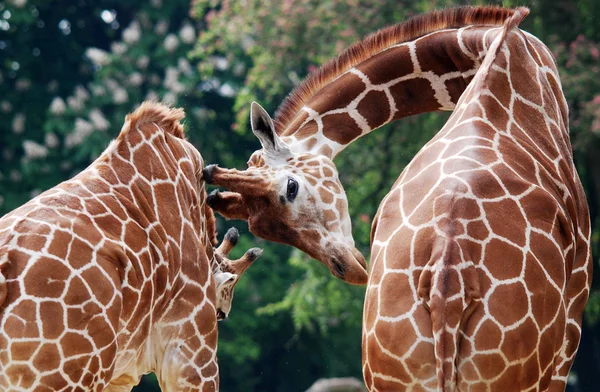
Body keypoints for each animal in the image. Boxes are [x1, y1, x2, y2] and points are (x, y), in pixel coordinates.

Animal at [202, 6, 592, 392]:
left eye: (291, 188)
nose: (351, 270)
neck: (489, 47)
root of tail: (448, 276)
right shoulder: (574, 314)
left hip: (391, 368)